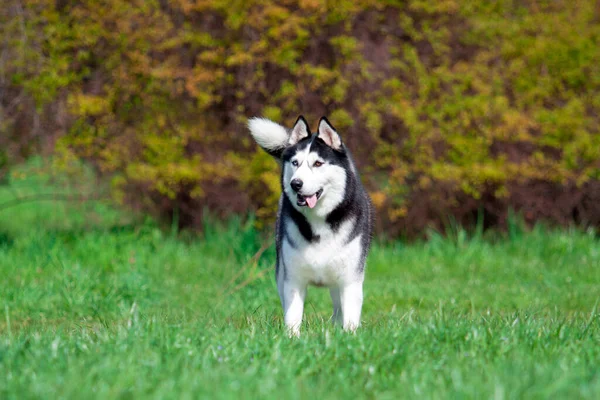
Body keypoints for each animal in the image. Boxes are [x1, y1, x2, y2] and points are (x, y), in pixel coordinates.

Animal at [247, 115, 370, 334]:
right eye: (295, 163)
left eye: (318, 163)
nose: (296, 184)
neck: (319, 222)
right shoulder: (293, 279)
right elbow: (292, 317)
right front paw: (291, 338)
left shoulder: (350, 280)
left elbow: (350, 318)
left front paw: (348, 337)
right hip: (281, 272)